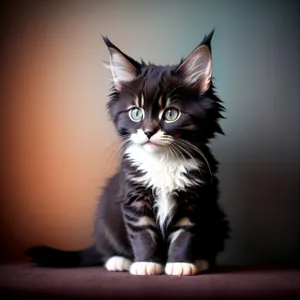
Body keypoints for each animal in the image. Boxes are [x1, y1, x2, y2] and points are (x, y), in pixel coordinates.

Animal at [27, 31, 230, 276]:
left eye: (171, 114)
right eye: (136, 113)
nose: (149, 132)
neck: (163, 160)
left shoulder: (195, 199)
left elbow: (185, 235)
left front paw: (180, 263)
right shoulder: (133, 195)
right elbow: (142, 234)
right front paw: (146, 263)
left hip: (219, 218)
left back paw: (201, 261)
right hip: (105, 219)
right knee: (107, 248)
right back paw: (119, 260)